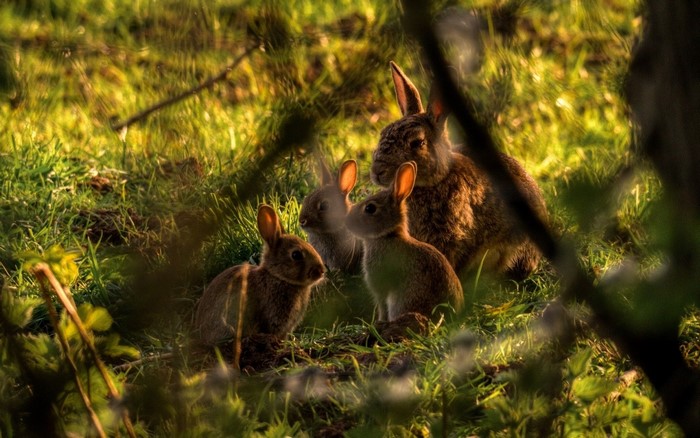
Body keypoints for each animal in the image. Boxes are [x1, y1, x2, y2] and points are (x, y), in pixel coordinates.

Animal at [345, 161, 464, 322]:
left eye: (370, 208)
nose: (346, 221)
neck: (388, 235)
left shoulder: (381, 287)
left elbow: (382, 307)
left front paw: (379, 322)